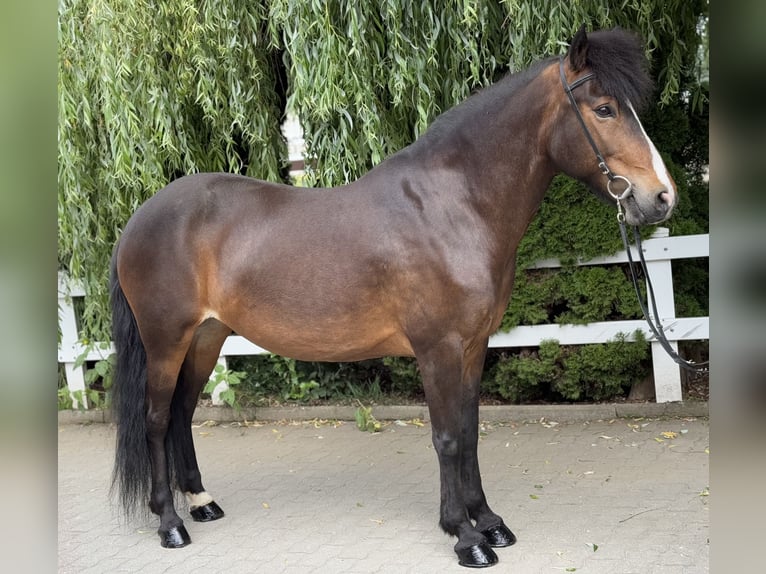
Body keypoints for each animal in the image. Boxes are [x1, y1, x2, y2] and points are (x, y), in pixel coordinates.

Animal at [110, 26, 676, 568]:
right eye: (604, 109)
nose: (662, 198)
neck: (452, 206)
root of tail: (139, 219)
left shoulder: (473, 346)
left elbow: (470, 432)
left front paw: (490, 521)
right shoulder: (438, 349)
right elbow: (447, 438)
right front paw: (464, 536)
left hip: (207, 336)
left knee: (182, 412)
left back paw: (201, 502)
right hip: (166, 340)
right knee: (156, 419)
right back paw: (170, 524)